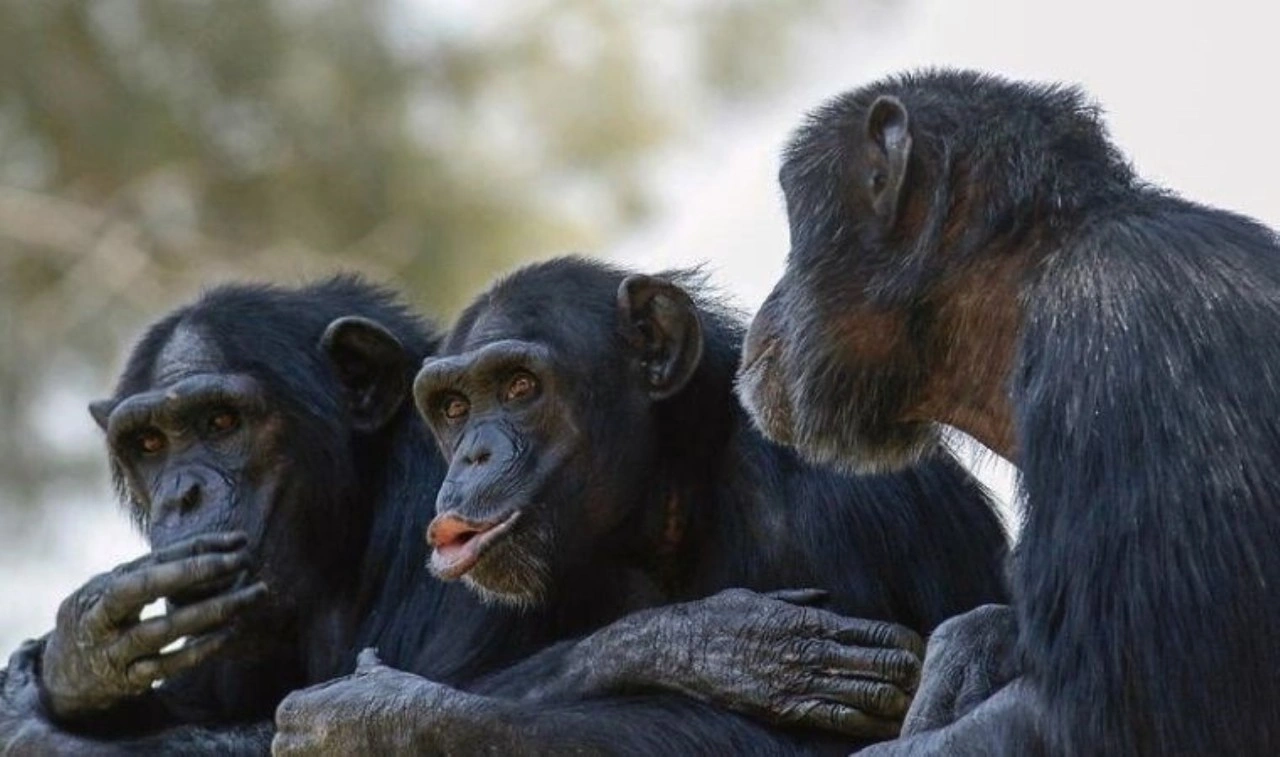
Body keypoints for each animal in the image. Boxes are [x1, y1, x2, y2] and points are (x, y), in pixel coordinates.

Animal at [275, 257, 1013, 753]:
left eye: (519, 386)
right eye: (454, 407)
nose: (472, 456)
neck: (667, 492)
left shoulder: (841, 509)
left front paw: (377, 721)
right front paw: (710, 644)